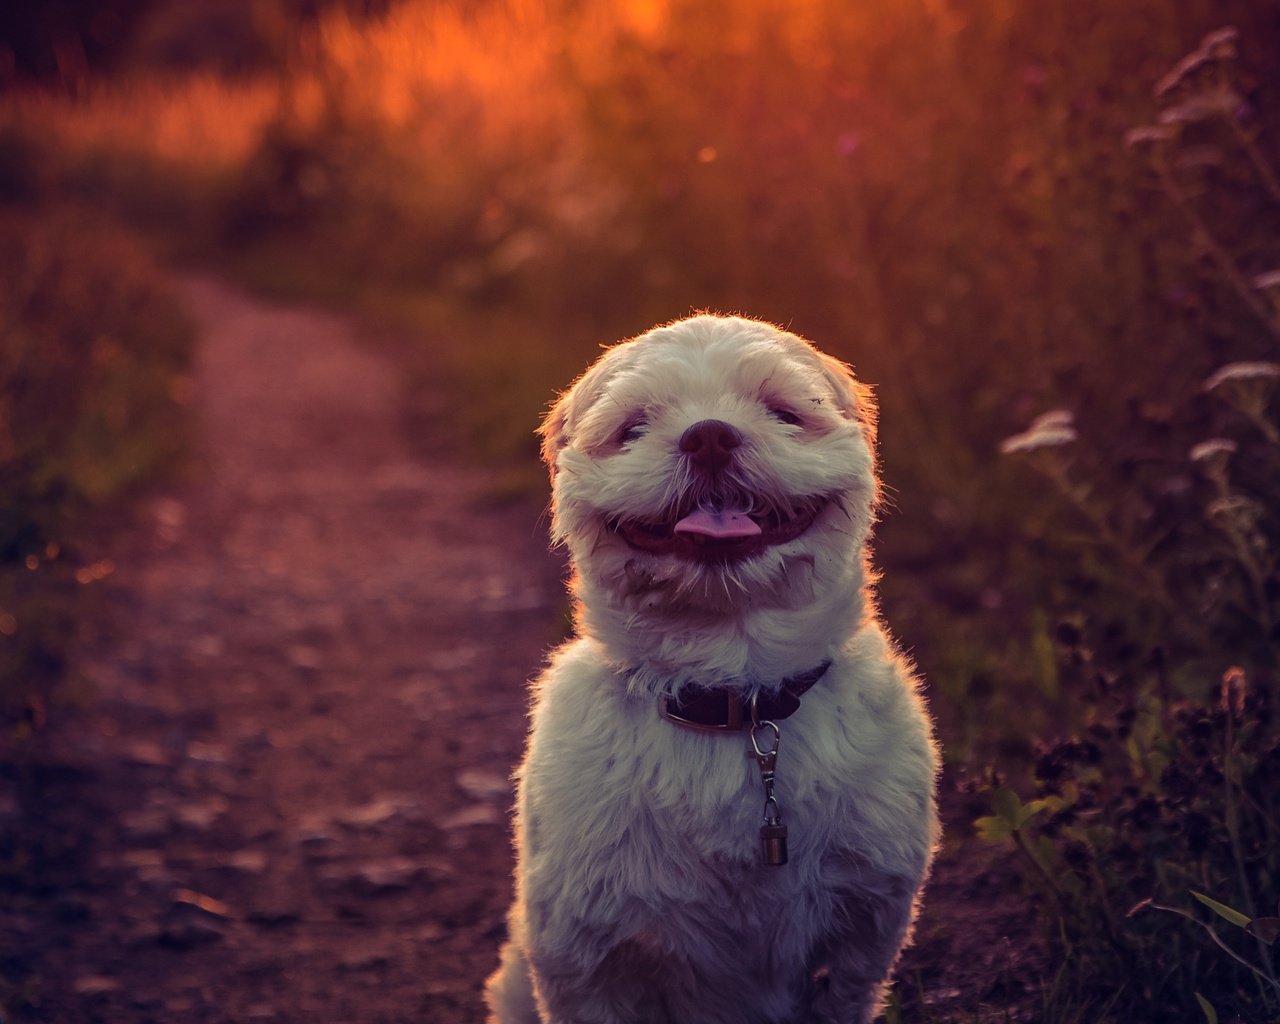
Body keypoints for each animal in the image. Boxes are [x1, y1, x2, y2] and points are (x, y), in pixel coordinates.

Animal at [483, 316, 936, 1018]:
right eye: (633, 427)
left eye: (783, 412)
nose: (710, 436)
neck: (732, 692)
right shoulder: (586, 961)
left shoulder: (859, 938)